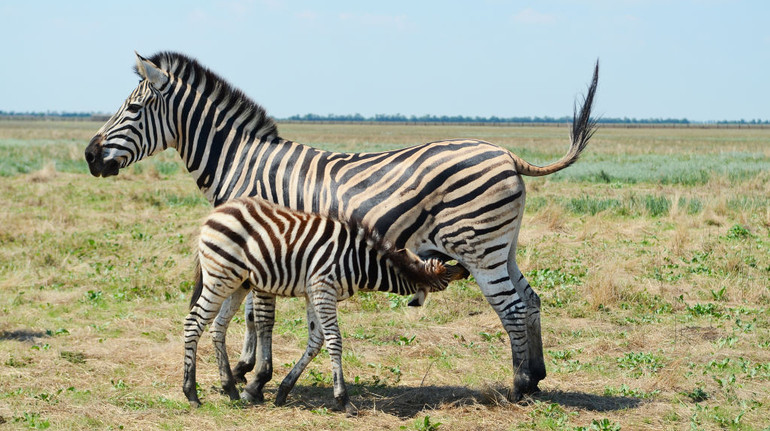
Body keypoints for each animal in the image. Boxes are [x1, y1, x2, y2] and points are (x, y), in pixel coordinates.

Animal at [183, 197, 464, 414]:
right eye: (446, 275)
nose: (463, 266)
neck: (360, 262)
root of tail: (217, 212)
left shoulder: (314, 293)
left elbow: (316, 341)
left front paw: (282, 391)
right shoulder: (322, 289)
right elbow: (334, 340)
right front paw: (343, 400)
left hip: (238, 282)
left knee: (217, 326)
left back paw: (230, 388)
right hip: (220, 276)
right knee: (193, 323)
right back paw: (192, 394)